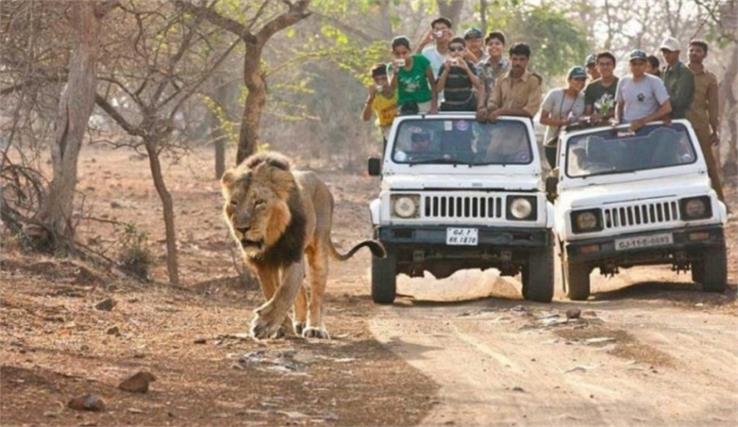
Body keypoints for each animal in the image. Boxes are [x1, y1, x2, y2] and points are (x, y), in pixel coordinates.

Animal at [220, 152, 386, 340]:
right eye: (234, 202)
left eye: (259, 202)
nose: (242, 228)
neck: (272, 238)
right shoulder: (263, 263)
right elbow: (272, 292)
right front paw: (279, 326)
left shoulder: (293, 255)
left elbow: (285, 291)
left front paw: (264, 324)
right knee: (300, 293)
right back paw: (298, 323)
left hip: (318, 251)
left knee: (316, 296)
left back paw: (315, 328)